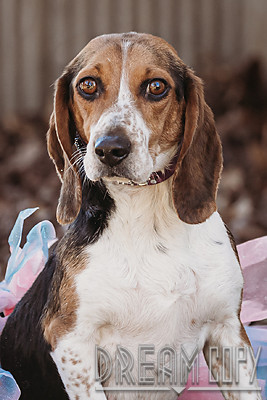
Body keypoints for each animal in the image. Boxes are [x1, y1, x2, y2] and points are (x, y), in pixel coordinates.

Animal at [0, 32, 264, 400]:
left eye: (156, 86)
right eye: (88, 85)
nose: (110, 149)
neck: (148, 217)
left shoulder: (227, 331)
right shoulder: (70, 340)